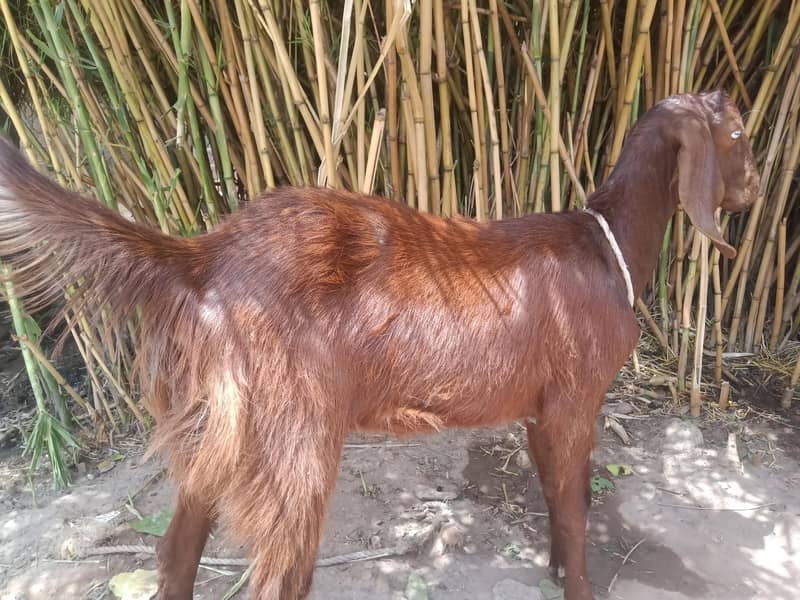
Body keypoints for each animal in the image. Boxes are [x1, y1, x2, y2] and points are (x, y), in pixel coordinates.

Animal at [0, 91, 758, 600]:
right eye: (738, 133)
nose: (754, 191)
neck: (607, 246)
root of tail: (205, 257)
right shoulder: (575, 397)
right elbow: (575, 507)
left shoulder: (541, 407)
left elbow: (555, 494)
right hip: (295, 439)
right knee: (274, 577)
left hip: (220, 426)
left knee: (175, 551)